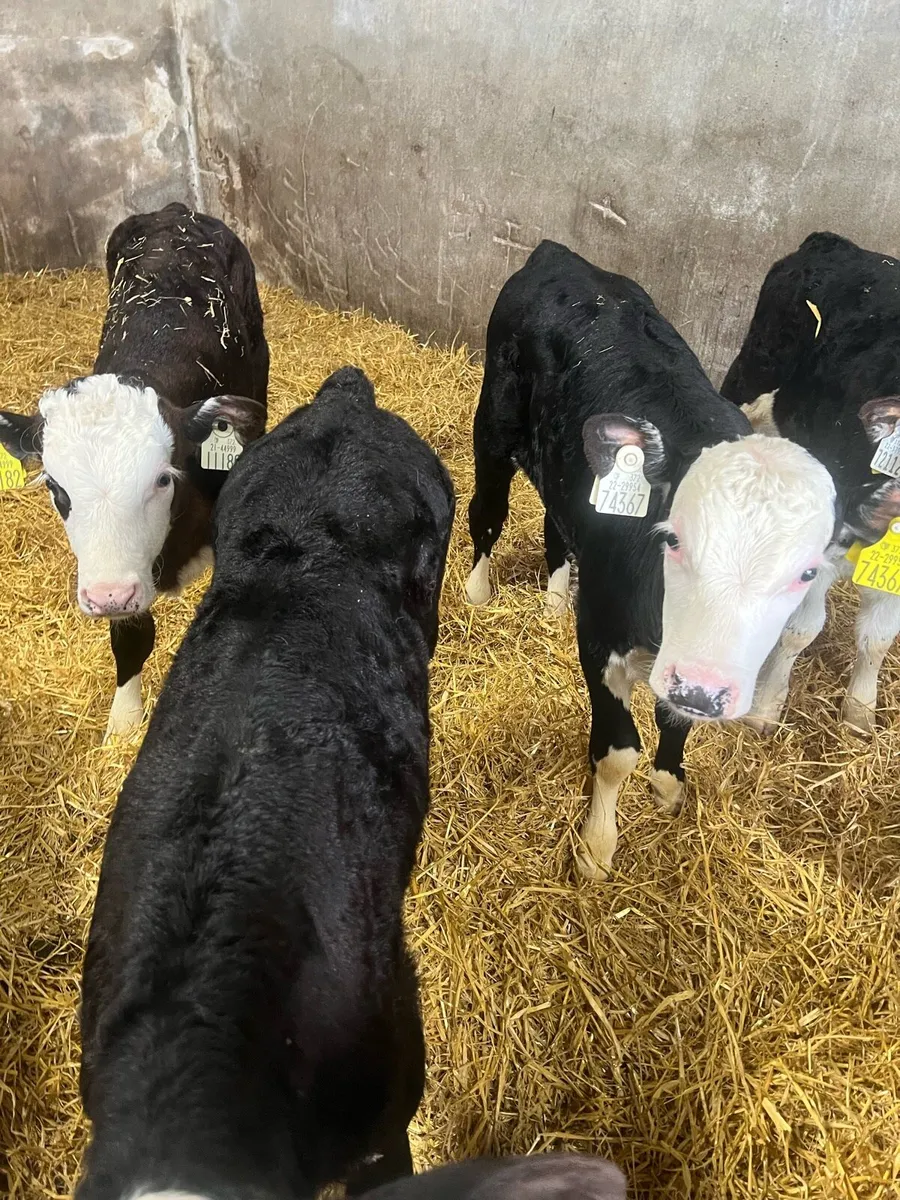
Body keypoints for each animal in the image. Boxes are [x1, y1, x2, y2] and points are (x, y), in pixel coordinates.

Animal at [0, 201, 269, 741]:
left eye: (163, 478)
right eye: (56, 488)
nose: (108, 596)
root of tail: (176, 212)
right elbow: (132, 637)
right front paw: (124, 722)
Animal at [465, 240, 838, 881]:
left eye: (806, 572)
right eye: (676, 539)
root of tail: (558, 255)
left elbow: (674, 720)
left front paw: (668, 783)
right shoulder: (600, 637)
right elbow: (617, 752)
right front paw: (596, 846)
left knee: (556, 524)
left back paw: (554, 600)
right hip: (494, 424)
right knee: (486, 511)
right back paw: (477, 591)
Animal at [721, 231, 900, 734]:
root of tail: (834, 241)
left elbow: (878, 637)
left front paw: (860, 712)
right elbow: (800, 628)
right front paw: (765, 709)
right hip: (751, 376)